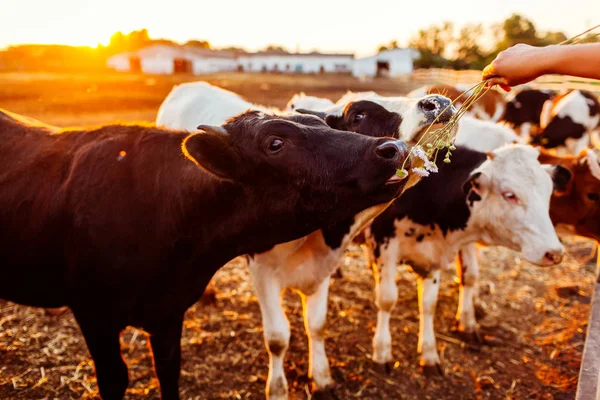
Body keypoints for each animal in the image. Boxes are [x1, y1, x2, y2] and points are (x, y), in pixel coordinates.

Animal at [364, 145, 564, 376]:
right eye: (510, 195)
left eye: (548, 193)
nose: (555, 252)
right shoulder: (383, 241)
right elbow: (387, 299)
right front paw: (382, 353)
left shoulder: (432, 256)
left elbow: (428, 304)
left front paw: (429, 354)